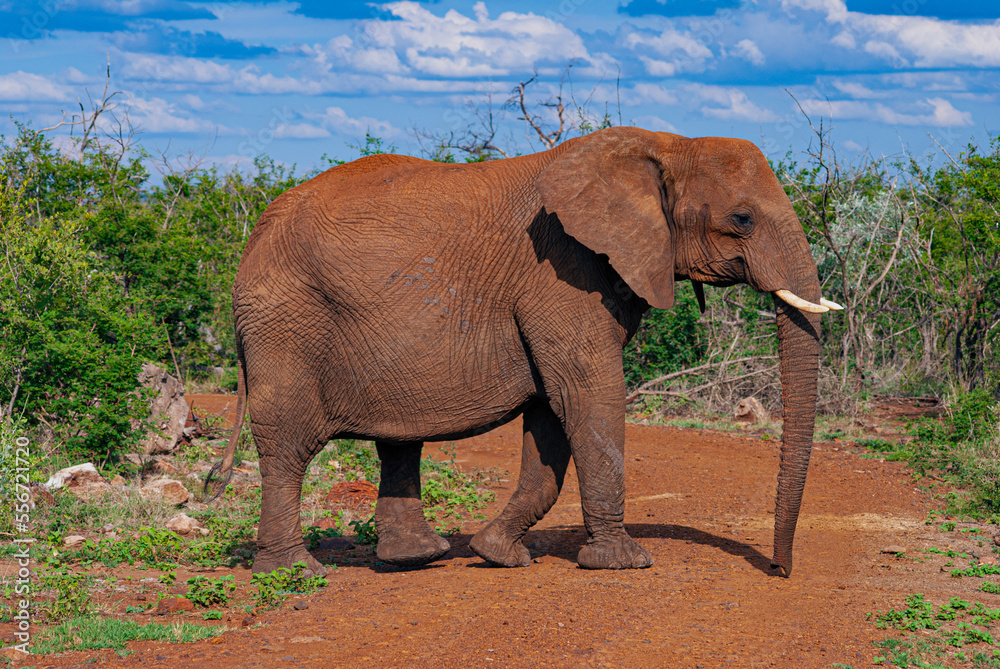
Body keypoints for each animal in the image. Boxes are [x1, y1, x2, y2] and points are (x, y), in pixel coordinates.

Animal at [207, 126, 840, 578]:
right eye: (742, 219)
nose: (779, 570)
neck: (665, 144)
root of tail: (254, 234)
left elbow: (551, 413)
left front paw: (496, 554)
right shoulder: (559, 271)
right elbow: (587, 392)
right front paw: (624, 564)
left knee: (397, 439)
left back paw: (418, 558)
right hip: (285, 320)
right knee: (288, 442)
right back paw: (295, 572)